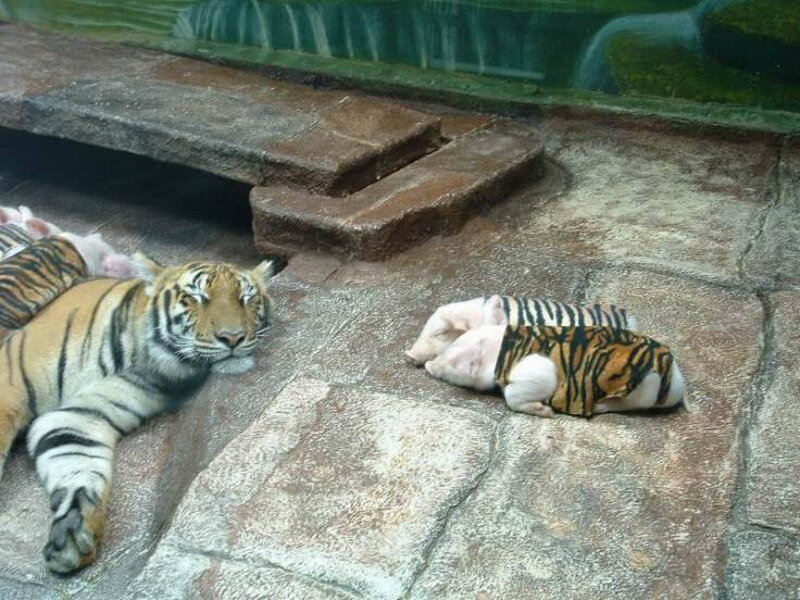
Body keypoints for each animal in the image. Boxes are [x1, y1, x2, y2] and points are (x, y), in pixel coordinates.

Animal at [0, 253, 276, 574]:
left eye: (246, 298)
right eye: (197, 297)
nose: (233, 338)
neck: (138, 354)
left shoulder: (80, 416)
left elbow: (78, 462)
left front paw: (75, 532)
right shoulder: (9, 388)